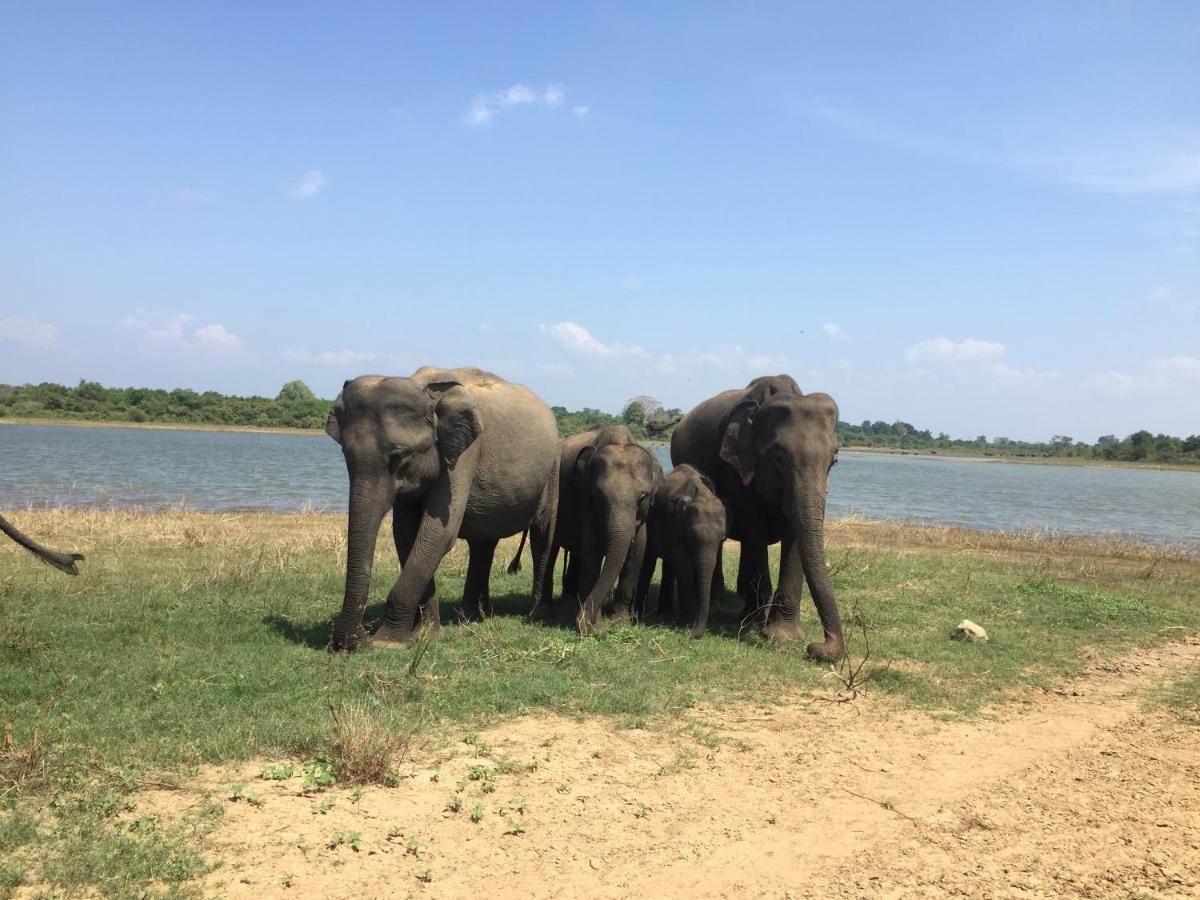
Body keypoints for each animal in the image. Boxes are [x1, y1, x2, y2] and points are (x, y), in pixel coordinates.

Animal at [324, 369, 556, 652]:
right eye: (345, 453)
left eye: (400, 456)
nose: (356, 640)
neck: (425, 389)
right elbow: (406, 534)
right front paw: (425, 635)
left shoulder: (465, 454)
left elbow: (438, 533)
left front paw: (388, 642)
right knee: (483, 544)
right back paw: (473, 616)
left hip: (552, 471)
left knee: (543, 535)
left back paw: (536, 615)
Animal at [643, 465, 724, 643]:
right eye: (691, 538)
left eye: (722, 538)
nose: (691, 635)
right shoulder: (675, 526)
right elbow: (684, 565)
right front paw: (686, 621)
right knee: (651, 561)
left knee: (669, 566)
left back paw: (666, 612)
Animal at [672, 374, 849, 662]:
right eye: (778, 457)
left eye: (833, 460)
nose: (816, 648)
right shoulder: (736, 466)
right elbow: (754, 528)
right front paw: (755, 626)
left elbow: (793, 534)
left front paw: (782, 636)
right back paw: (724, 603)